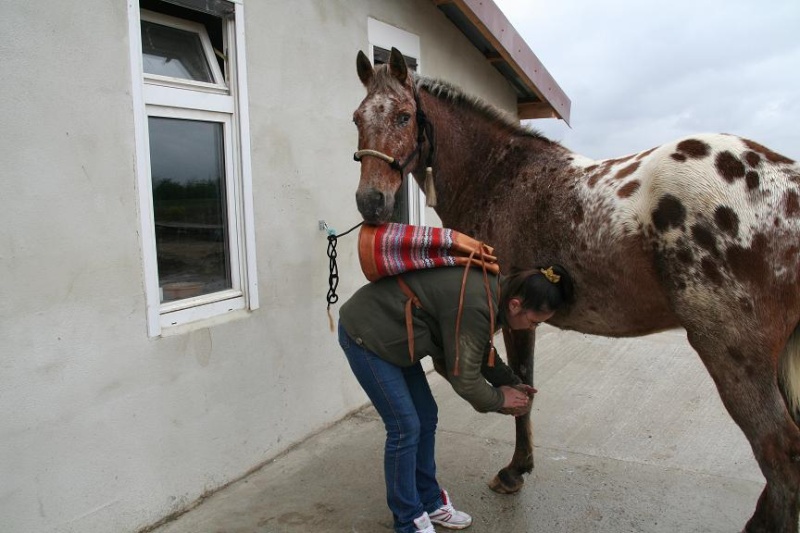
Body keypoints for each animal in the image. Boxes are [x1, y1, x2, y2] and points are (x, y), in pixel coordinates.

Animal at [352, 47, 800, 528]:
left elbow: (523, 387)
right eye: (357, 117)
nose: (371, 202)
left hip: (732, 354)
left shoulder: (513, 317)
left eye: (403, 116)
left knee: (778, 451)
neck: (499, 177)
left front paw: (514, 471)